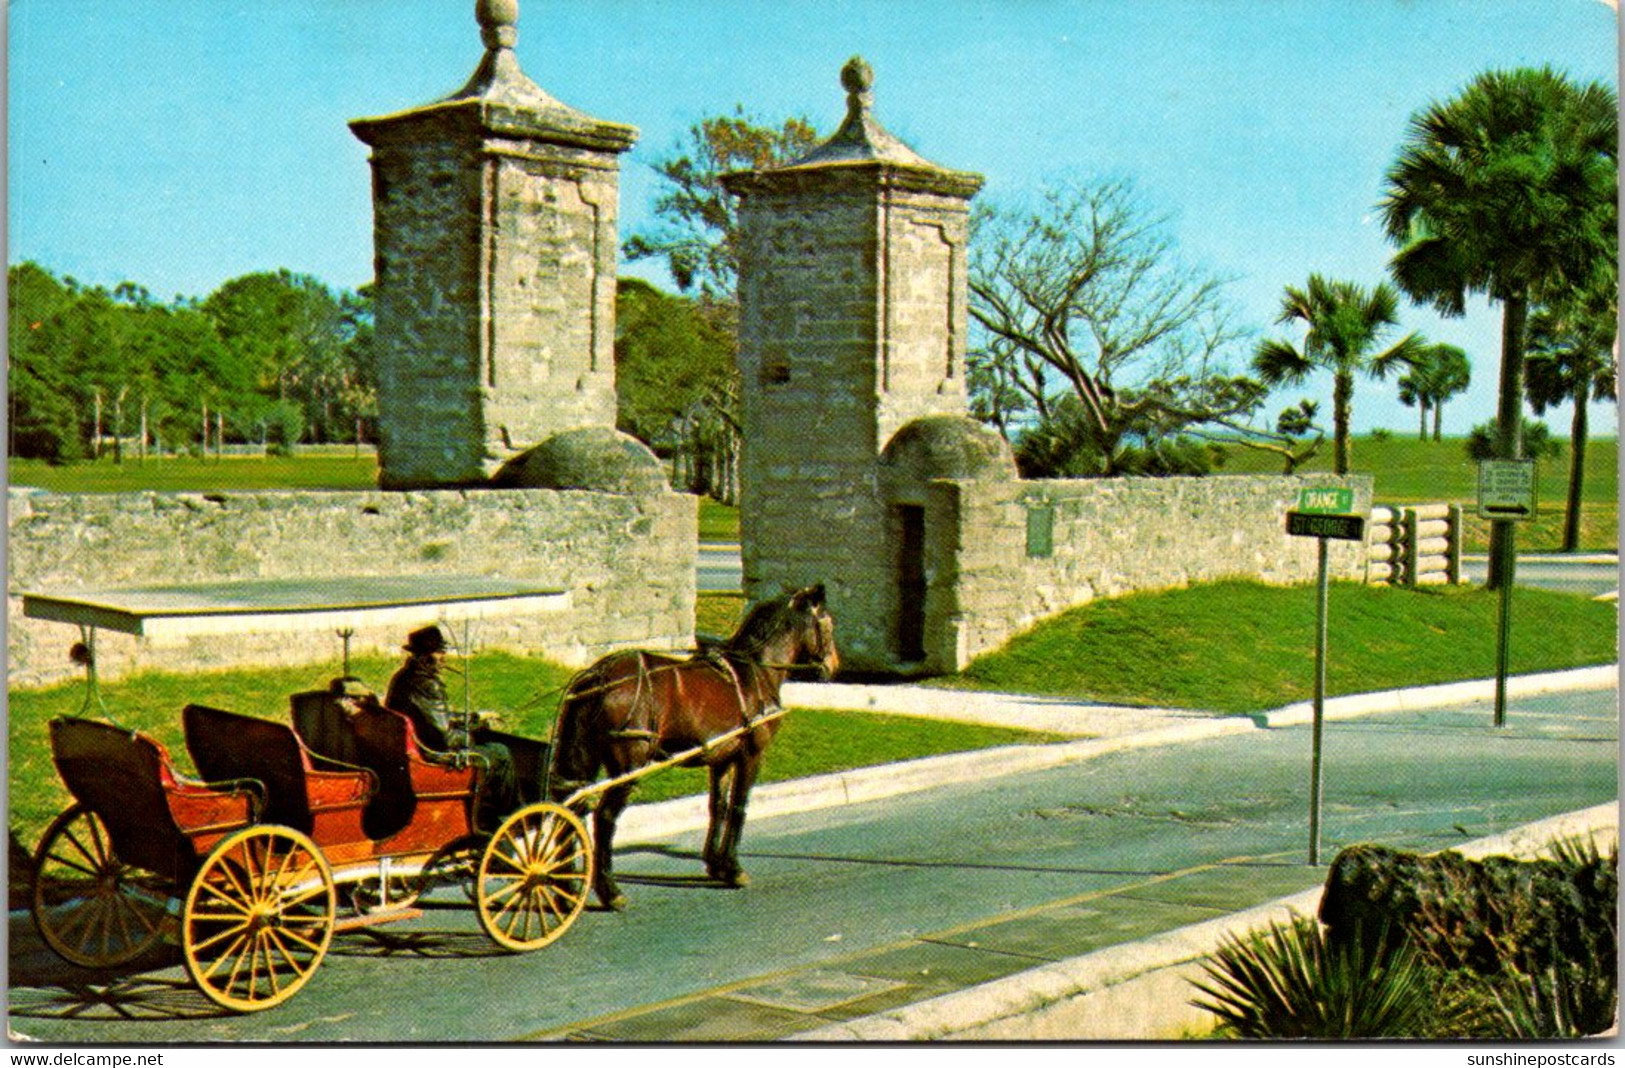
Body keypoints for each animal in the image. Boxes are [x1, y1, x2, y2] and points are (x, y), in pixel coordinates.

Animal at [552, 581, 845, 910]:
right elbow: (738, 807)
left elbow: (718, 806)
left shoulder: (722, 758)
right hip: (629, 762)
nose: (834, 665)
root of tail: (598, 675)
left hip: (586, 757)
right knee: (604, 817)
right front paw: (733, 868)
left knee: (571, 810)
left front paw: (716, 865)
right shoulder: (751, 755)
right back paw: (609, 890)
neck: (755, 671)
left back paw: (567, 888)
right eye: (828, 623)